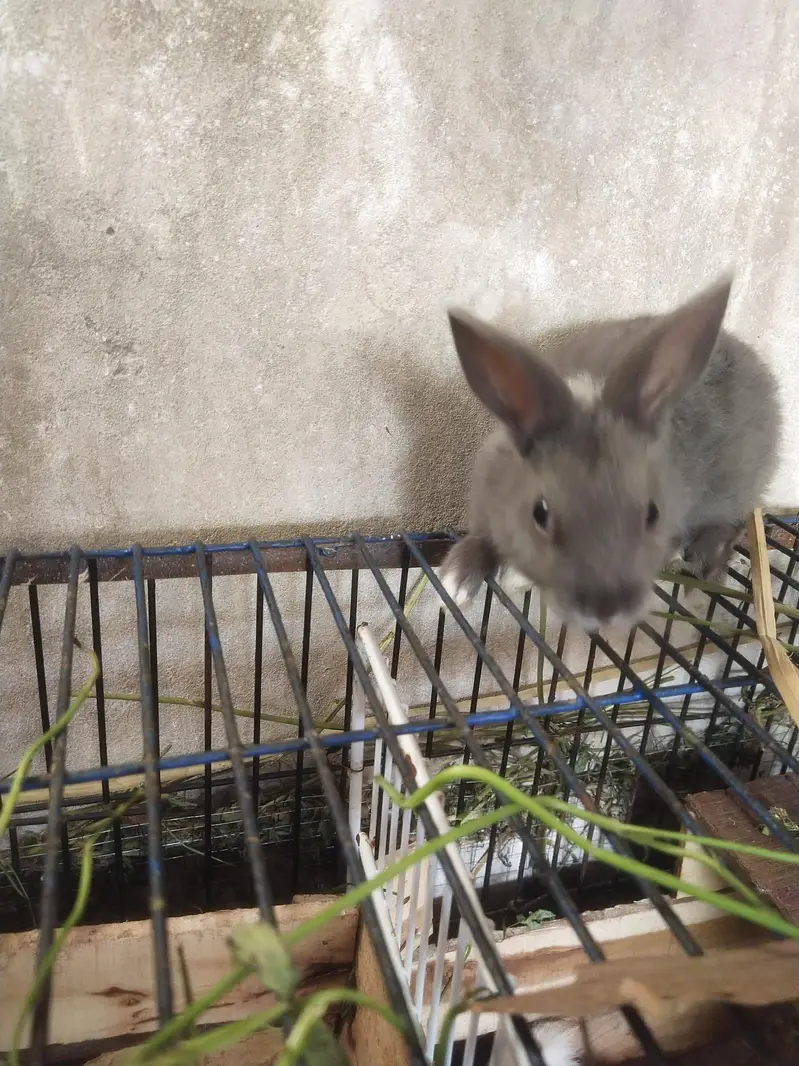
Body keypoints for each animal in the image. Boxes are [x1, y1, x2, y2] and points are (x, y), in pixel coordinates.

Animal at [439, 275, 780, 632]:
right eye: (539, 513)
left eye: (653, 513)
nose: (606, 612)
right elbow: (479, 541)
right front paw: (454, 585)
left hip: (734, 488)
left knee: (731, 526)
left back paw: (698, 584)